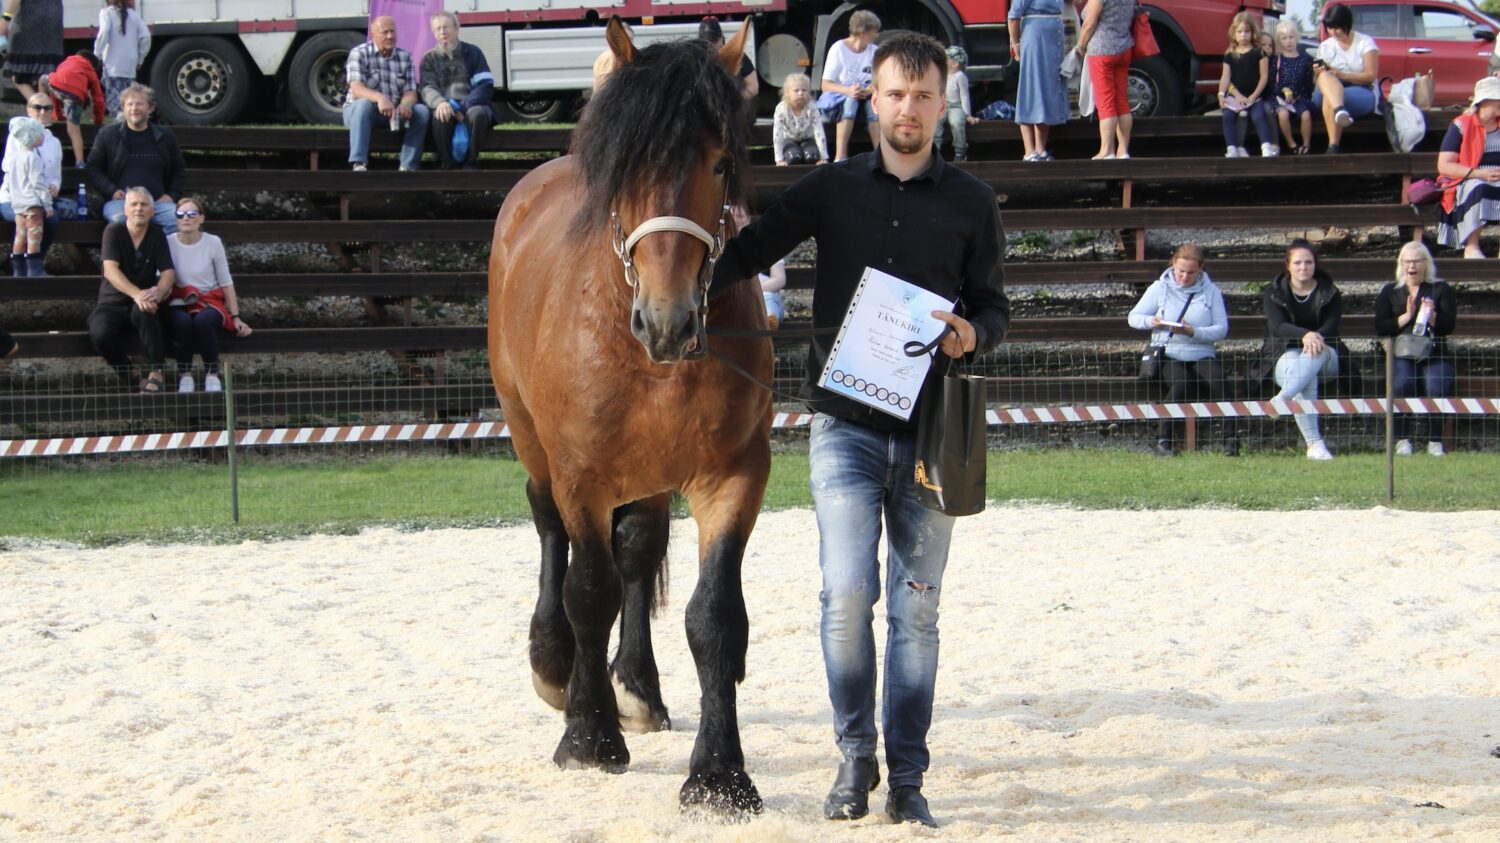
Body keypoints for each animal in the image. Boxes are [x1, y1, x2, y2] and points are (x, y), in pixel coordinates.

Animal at [486, 18, 774, 810]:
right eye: (627, 169)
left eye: (721, 162)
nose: (668, 320)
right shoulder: (581, 476)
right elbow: (590, 591)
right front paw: (589, 735)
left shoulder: (733, 476)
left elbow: (715, 618)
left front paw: (720, 773)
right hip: (532, 442)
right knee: (551, 531)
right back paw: (555, 666)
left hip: (646, 472)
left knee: (638, 550)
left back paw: (637, 688)